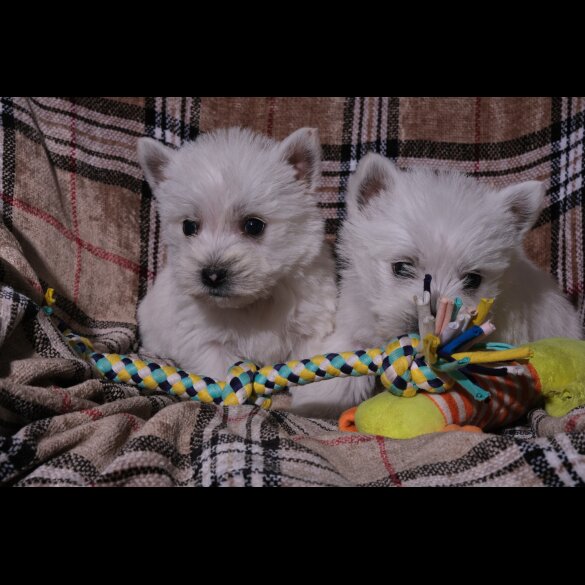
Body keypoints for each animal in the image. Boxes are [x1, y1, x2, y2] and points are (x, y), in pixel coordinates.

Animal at [135, 126, 336, 378]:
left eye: (253, 225)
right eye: (188, 227)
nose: (211, 275)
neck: (254, 302)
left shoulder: (310, 330)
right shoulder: (208, 343)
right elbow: (220, 376)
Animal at [290, 151, 580, 416]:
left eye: (473, 279)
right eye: (401, 267)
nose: (430, 319)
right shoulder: (357, 316)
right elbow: (346, 350)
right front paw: (318, 399)